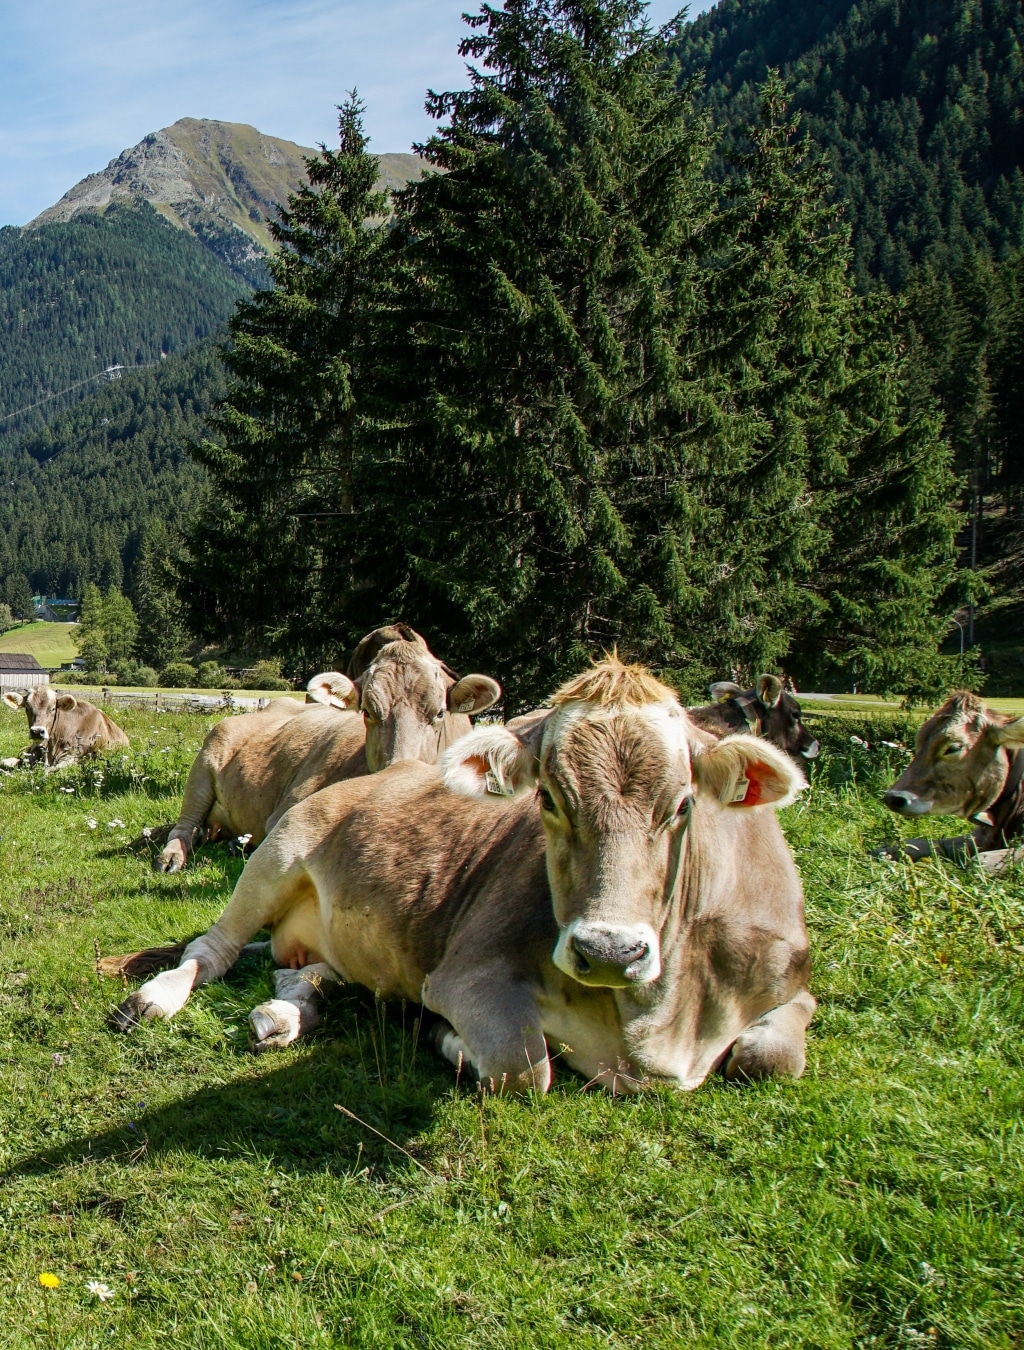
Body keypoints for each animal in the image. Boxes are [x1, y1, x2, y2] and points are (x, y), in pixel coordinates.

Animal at [114, 656, 814, 1096]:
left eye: (683, 806)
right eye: (549, 798)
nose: (609, 950)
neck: (658, 1023)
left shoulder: (793, 984)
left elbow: (770, 1056)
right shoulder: (471, 972)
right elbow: (522, 1067)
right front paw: (444, 1037)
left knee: (302, 972)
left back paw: (287, 1012)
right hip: (278, 849)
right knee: (213, 949)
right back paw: (155, 997)